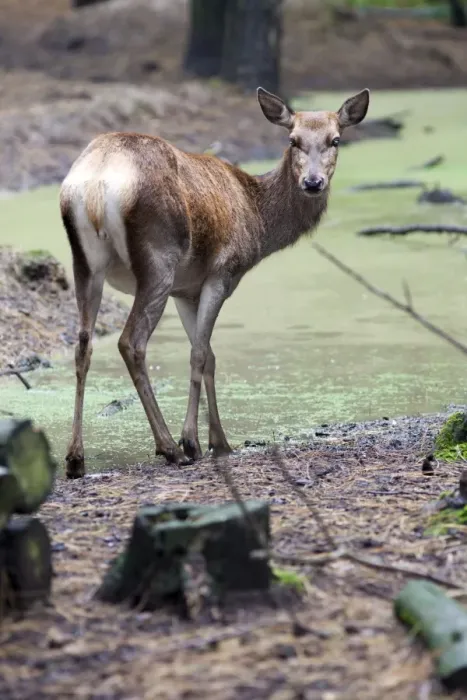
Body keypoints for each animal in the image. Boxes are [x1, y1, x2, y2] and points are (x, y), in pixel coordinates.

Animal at [60, 86, 370, 478]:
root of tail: (95, 186)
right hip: (158, 258)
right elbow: (200, 353)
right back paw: (169, 447)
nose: (313, 183)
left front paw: (219, 441)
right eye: (293, 140)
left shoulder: (185, 290)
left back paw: (75, 458)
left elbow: (209, 355)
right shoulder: (222, 273)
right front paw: (193, 441)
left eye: (335, 139)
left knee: (83, 344)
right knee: (131, 341)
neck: (257, 220)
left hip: (85, 262)